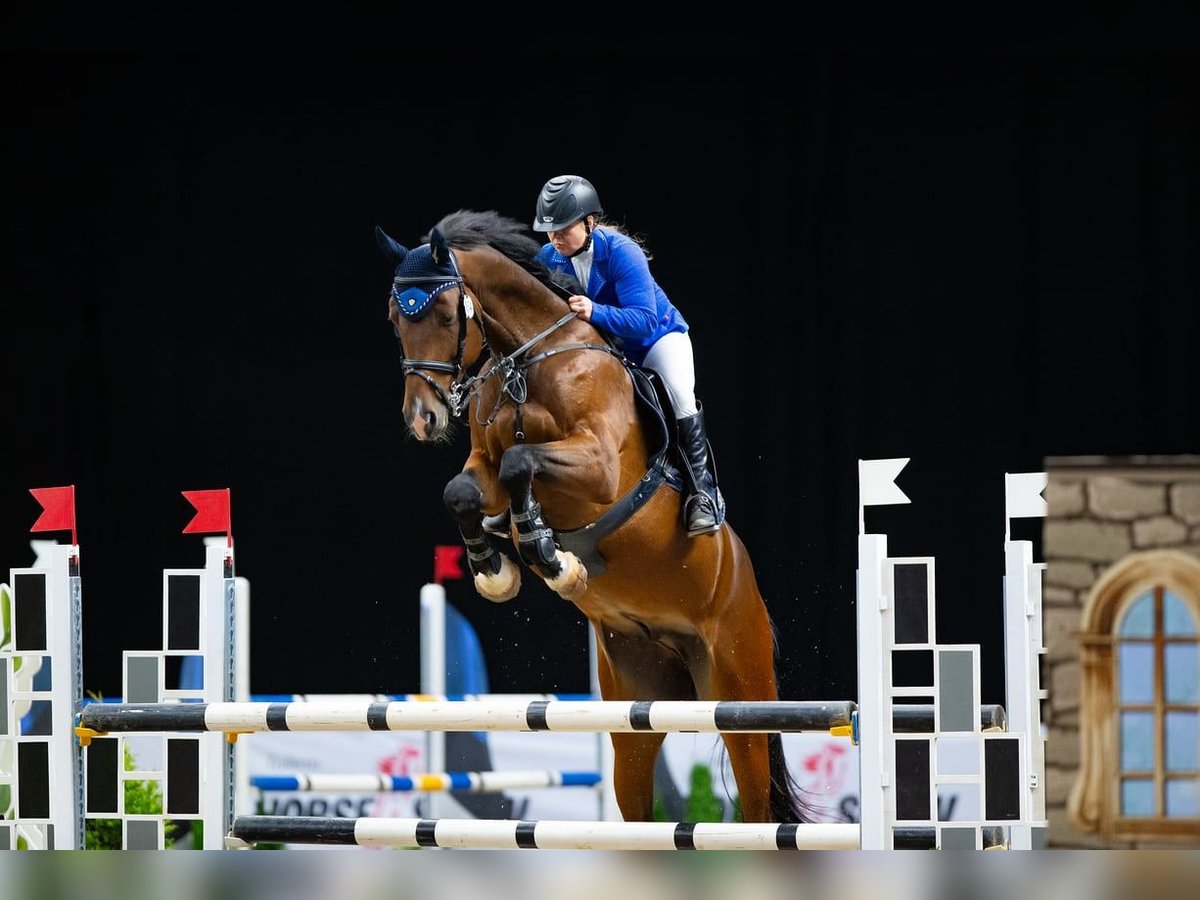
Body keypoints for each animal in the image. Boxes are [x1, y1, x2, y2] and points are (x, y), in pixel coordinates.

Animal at [377, 209, 818, 824]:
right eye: (395, 320)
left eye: (444, 315)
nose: (424, 418)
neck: (530, 361)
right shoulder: (482, 463)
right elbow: (463, 490)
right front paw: (496, 568)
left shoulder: (600, 466)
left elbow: (521, 461)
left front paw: (549, 555)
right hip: (634, 708)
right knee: (637, 804)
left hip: (740, 696)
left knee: (756, 805)